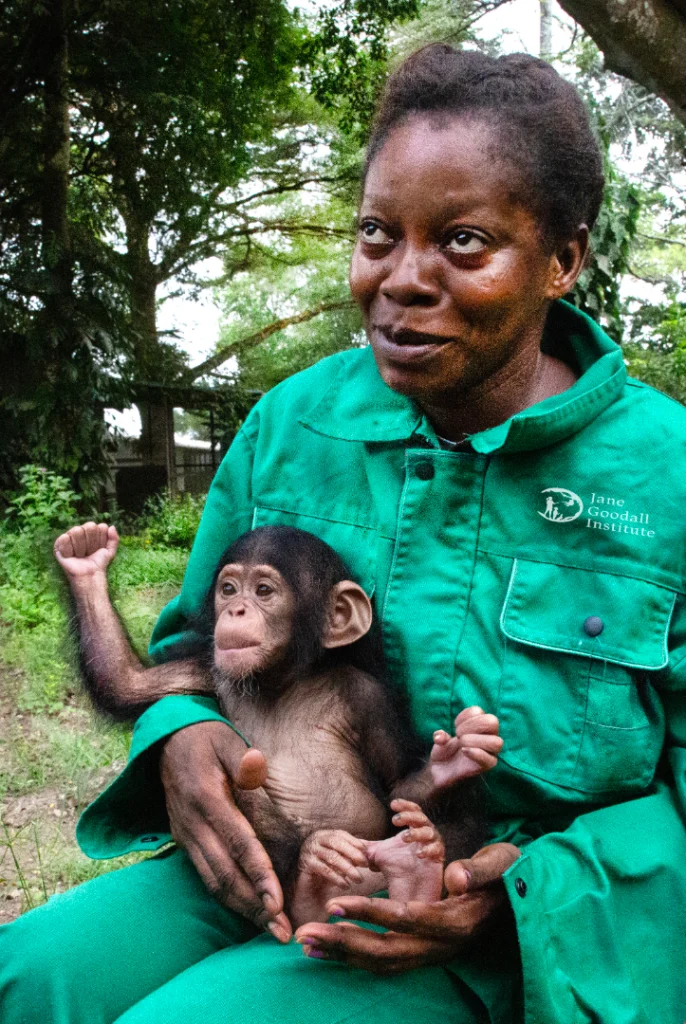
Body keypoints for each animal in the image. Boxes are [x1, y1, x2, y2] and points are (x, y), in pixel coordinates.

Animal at [54, 521, 503, 929]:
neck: (281, 682)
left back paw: (411, 872)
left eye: (264, 592)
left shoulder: (370, 700)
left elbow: (399, 791)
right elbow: (127, 684)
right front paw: (85, 561)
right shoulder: (206, 669)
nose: (235, 610)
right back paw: (316, 870)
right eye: (228, 589)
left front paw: (451, 762)